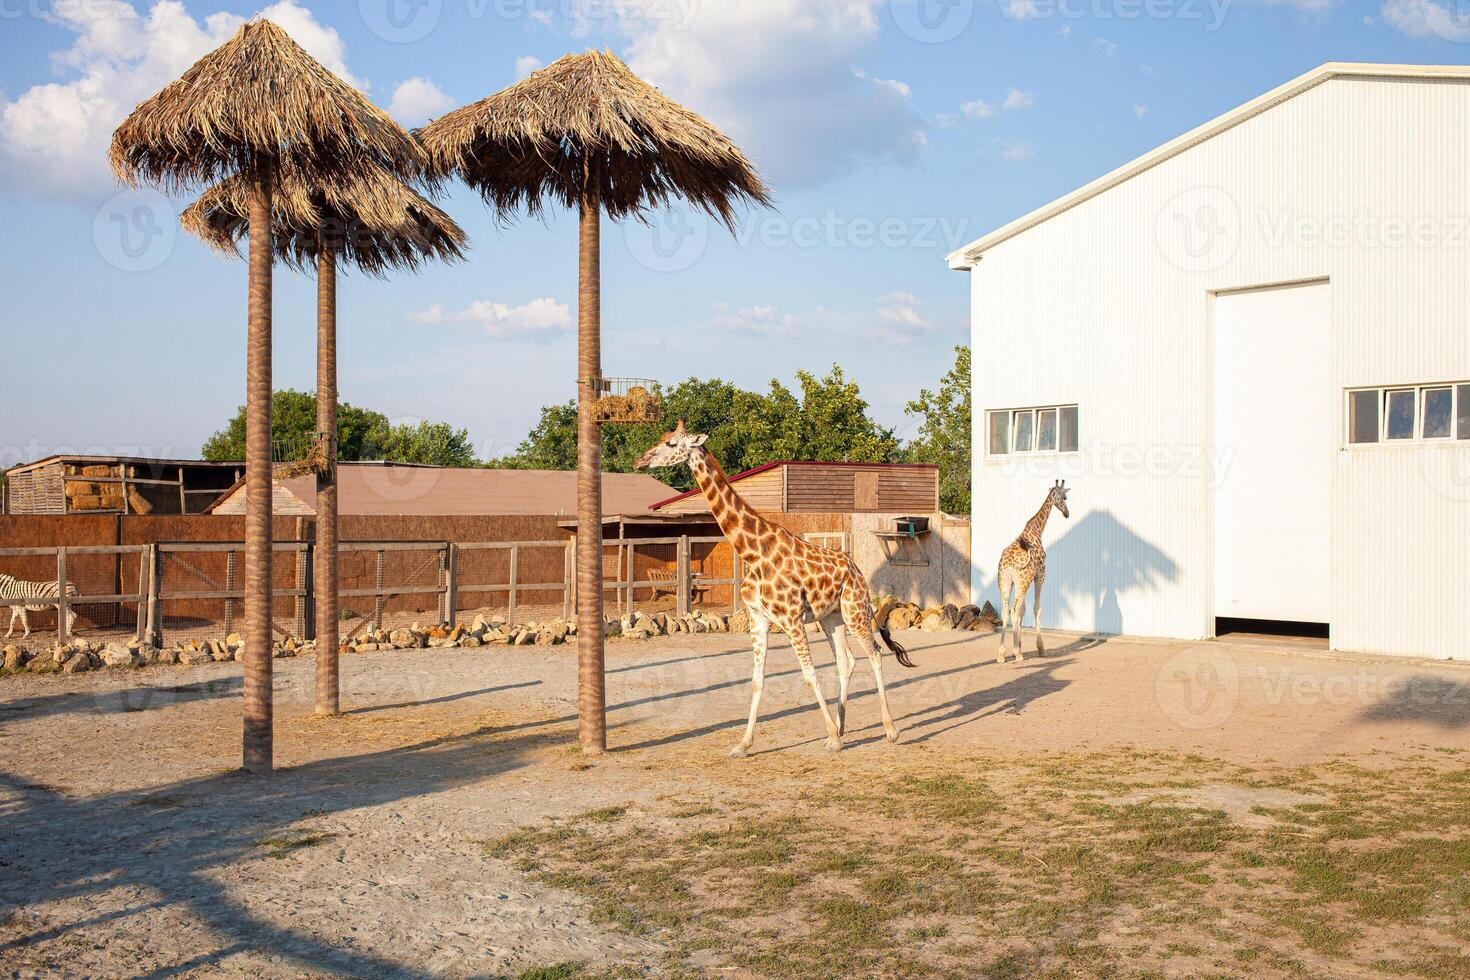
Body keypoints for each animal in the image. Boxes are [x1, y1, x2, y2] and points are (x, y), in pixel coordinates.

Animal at [635, 423, 911, 758]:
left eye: (672, 444)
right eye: (661, 439)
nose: (640, 461)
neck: (754, 553)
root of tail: (856, 568)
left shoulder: (791, 619)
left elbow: (809, 674)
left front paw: (832, 736)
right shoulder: (758, 619)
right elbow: (757, 680)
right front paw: (743, 744)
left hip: (854, 611)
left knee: (875, 655)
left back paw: (889, 730)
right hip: (831, 618)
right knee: (846, 661)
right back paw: (842, 726)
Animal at [993, 481, 1076, 667]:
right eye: (1065, 497)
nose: (1067, 513)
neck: (1037, 530)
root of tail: (1009, 565)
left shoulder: (1027, 580)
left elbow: (1023, 610)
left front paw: (1020, 645)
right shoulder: (1040, 574)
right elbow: (1037, 608)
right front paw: (1040, 648)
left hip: (1005, 582)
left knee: (1006, 609)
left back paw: (1001, 654)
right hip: (1021, 582)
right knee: (1014, 609)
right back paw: (1016, 654)